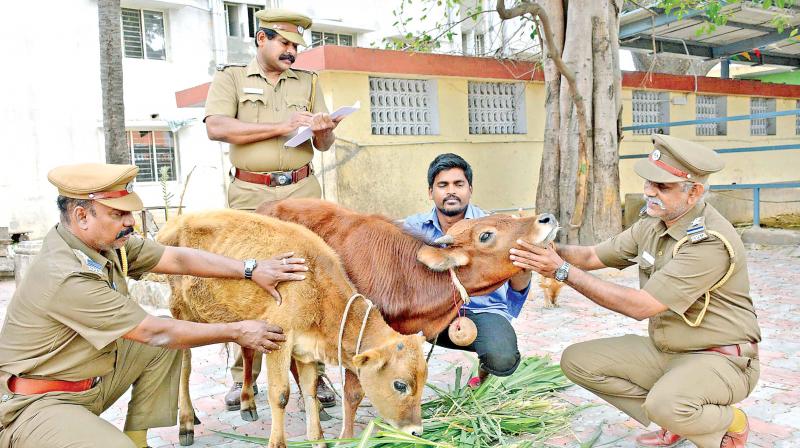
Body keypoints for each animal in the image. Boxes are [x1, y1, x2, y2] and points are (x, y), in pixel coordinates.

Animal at [159, 211, 428, 448]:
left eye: (424, 381)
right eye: (400, 385)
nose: (416, 431)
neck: (316, 286)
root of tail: (176, 221)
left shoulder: (305, 349)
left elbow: (310, 392)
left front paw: (318, 440)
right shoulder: (278, 338)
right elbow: (280, 395)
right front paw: (278, 442)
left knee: (246, 351)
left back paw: (247, 404)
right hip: (181, 312)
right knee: (184, 367)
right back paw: (186, 422)